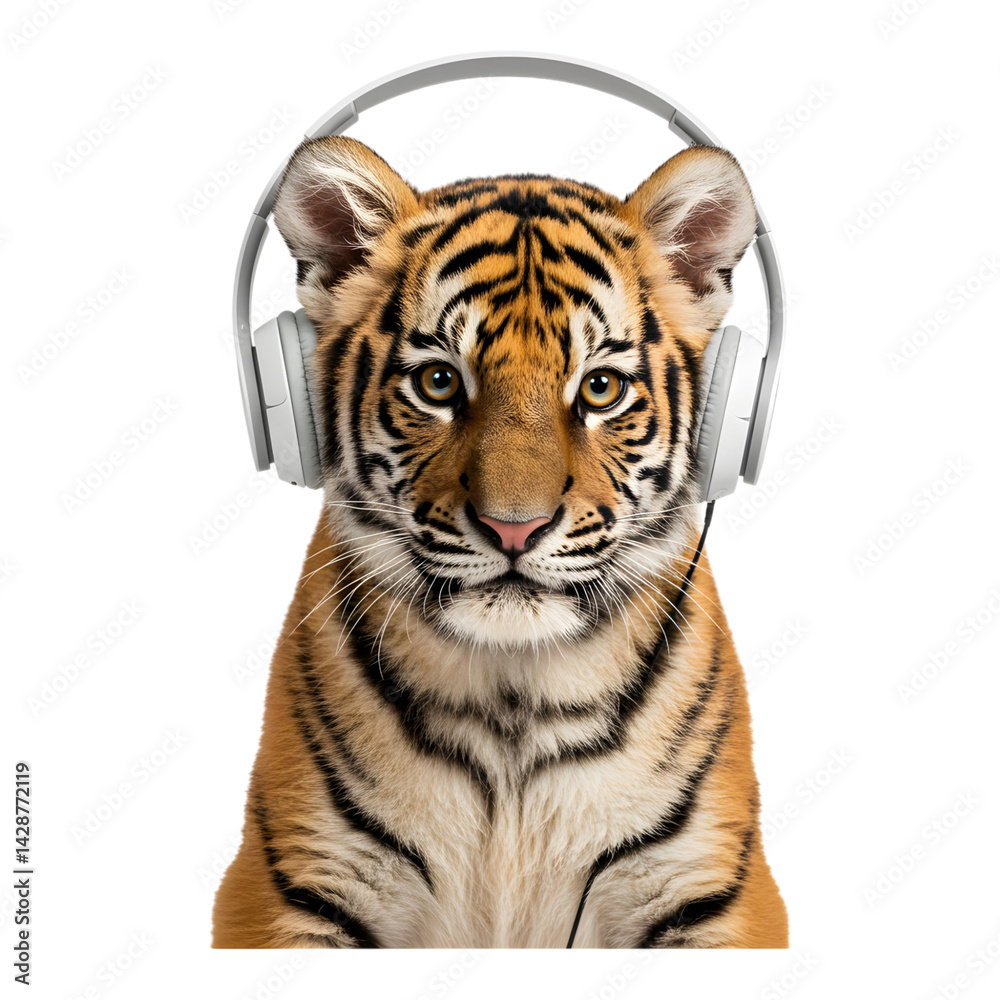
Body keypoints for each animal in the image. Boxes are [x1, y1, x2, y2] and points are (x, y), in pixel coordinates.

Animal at [211, 134, 789, 949]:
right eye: (439, 382)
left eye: (601, 389)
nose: (515, 525)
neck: (513, 699)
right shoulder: (290, 879)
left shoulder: (710, 887)